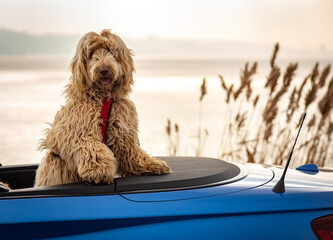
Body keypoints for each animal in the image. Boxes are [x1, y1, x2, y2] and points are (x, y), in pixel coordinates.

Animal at [34, 29, 171, 188]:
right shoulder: (80, 129)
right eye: (92, 54)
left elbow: (131, 152)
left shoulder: (121, 130)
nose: (104, 70)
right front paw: (99, 170)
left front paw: (150, 164)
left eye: (111, 52)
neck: (103, 97)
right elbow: (92, 147)